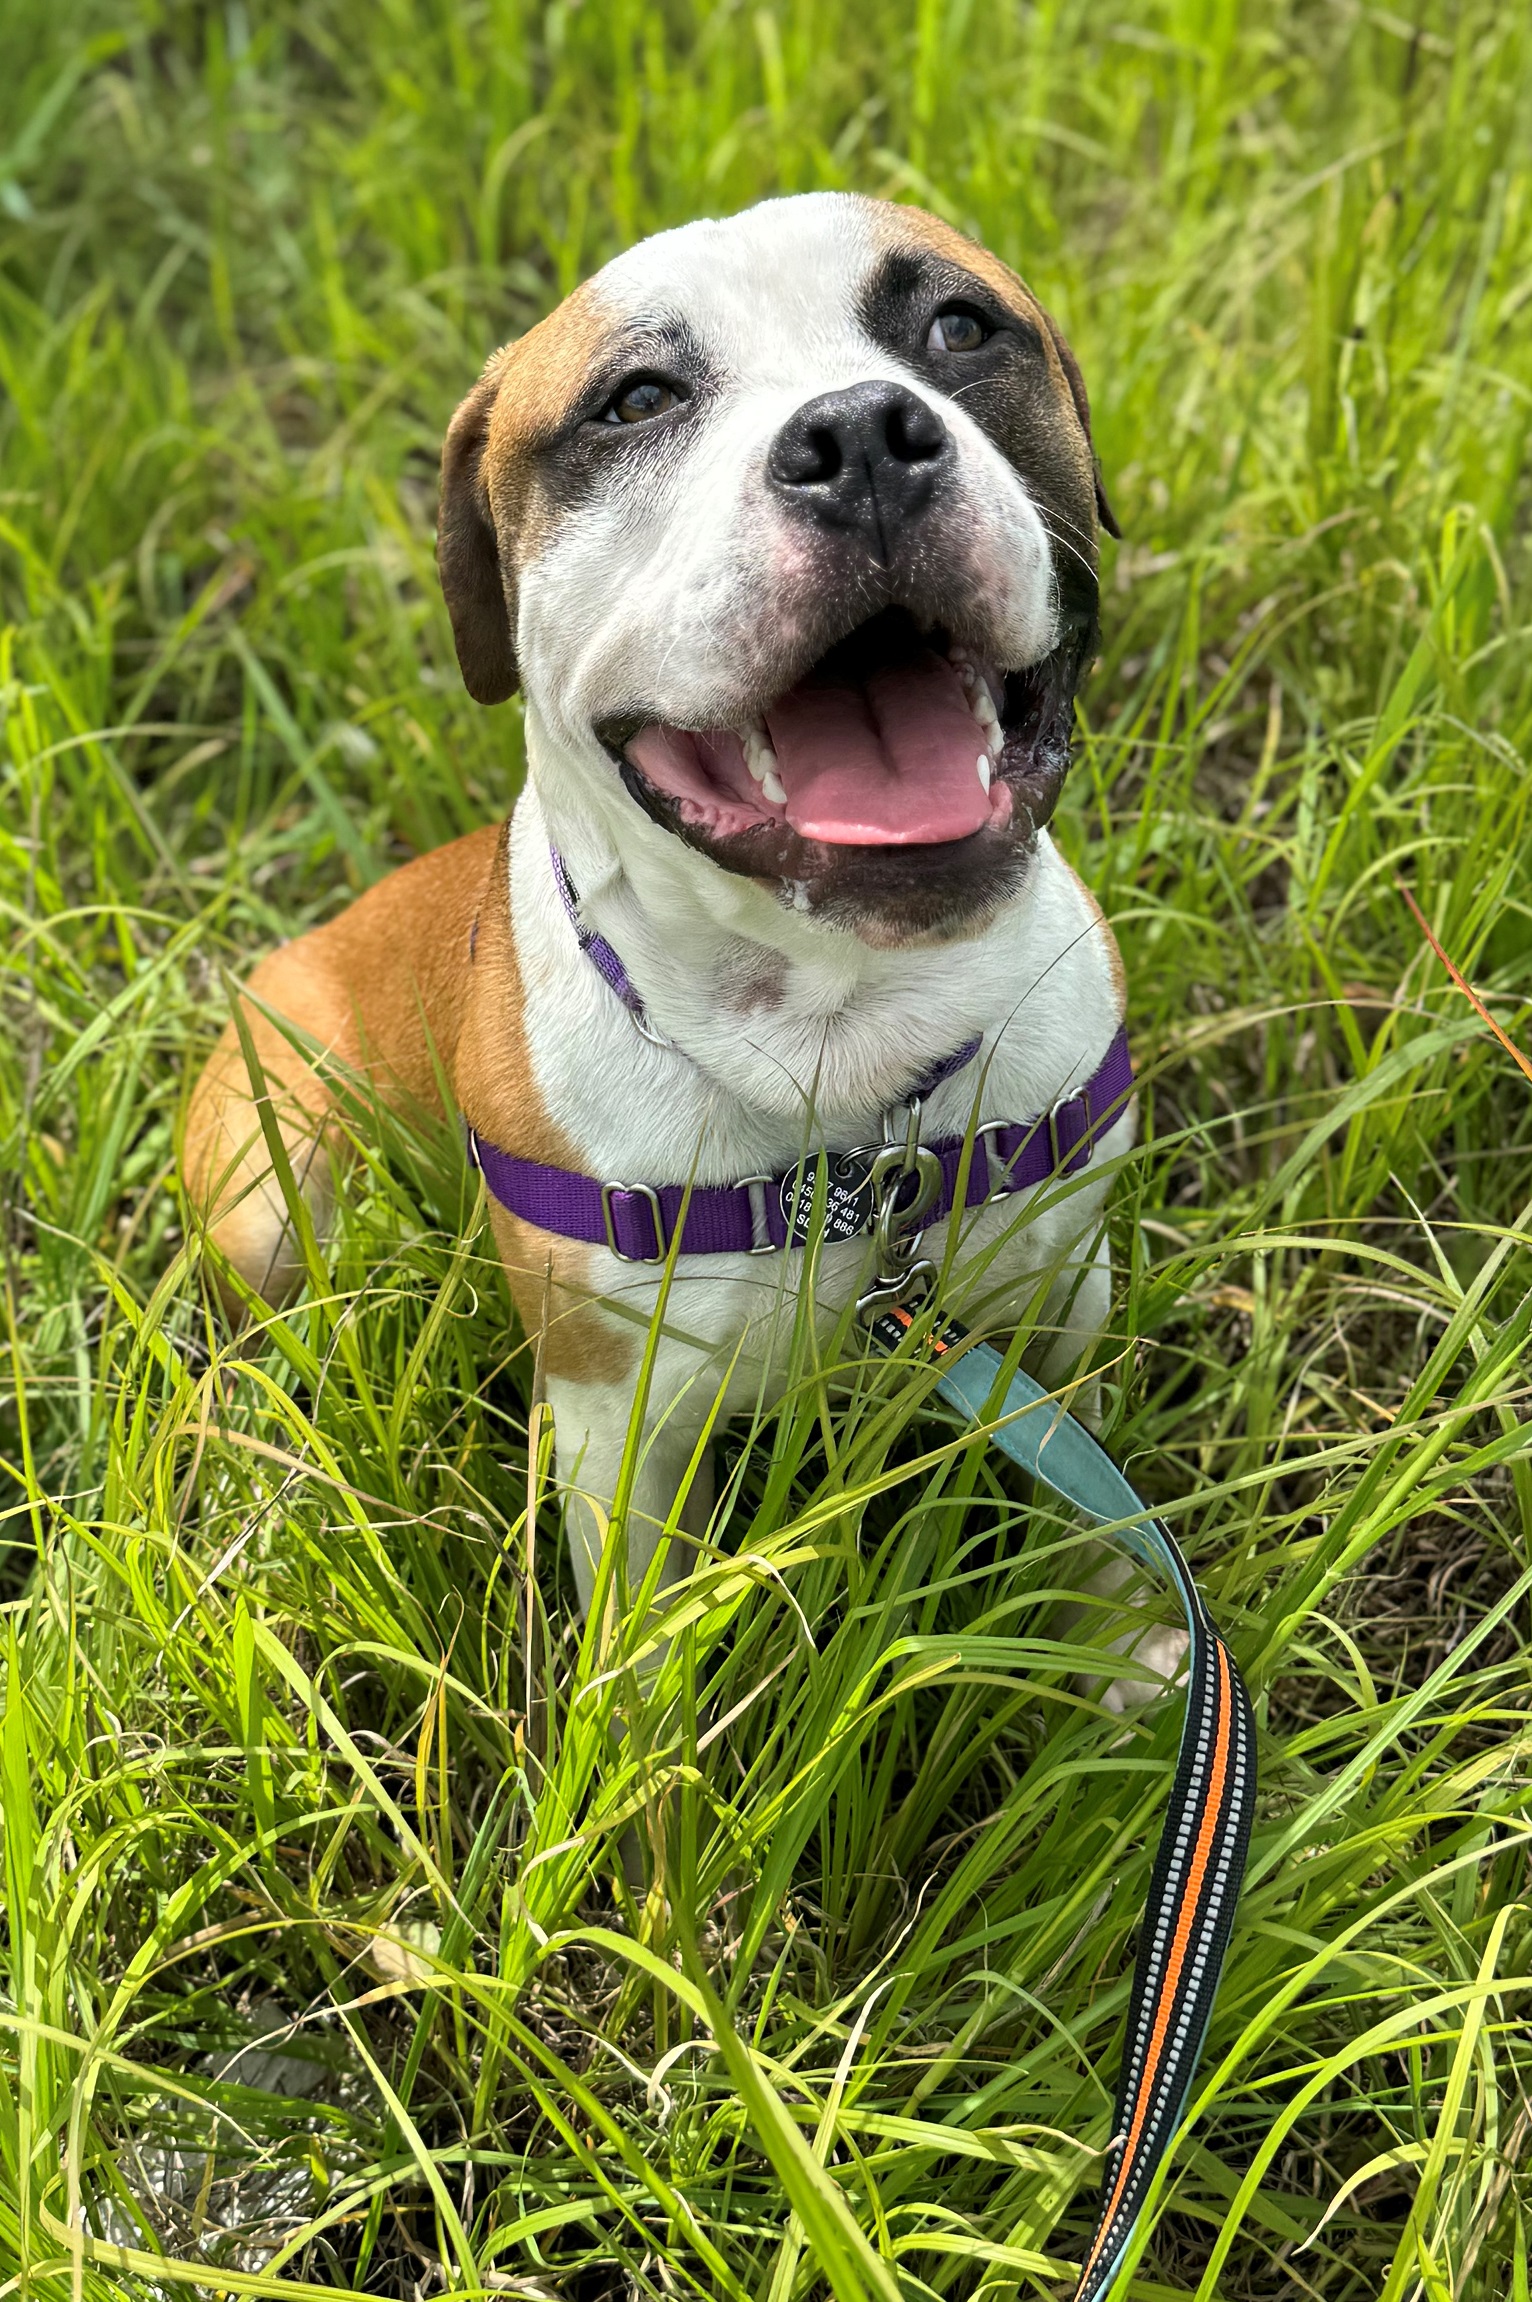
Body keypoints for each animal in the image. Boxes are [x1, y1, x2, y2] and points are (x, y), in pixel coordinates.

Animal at [184, 192, 1171, 1688]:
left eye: (958, 326)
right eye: (634, 399)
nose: (860, 438)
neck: (840, 1027)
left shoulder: (1063, 1295)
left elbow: (1083, 1490)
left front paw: (1109, 1636)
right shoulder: (616, 1425)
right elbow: (642, 1643)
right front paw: (635, 1747)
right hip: (268, 1189)